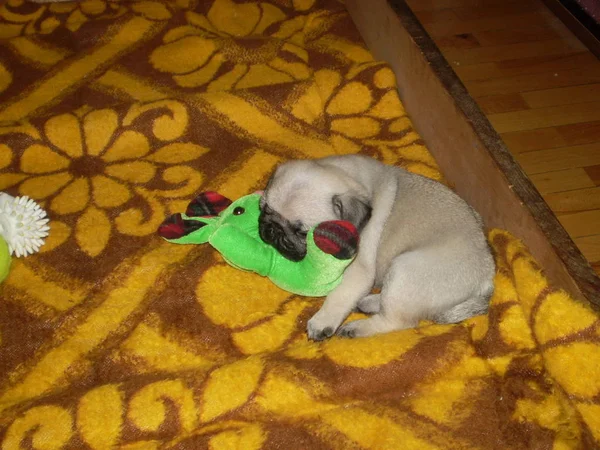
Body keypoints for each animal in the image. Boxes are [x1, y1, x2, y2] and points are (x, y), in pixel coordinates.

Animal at [260, 156, 494, 342]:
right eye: (264, 209)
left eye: (301, 232)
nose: (273, 230)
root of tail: (486, 277)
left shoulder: (358, 270)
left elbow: (339, 295)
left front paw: (322, 321)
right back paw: (369, 302)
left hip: (404, 270)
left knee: (398, 320)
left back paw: (357, 327)